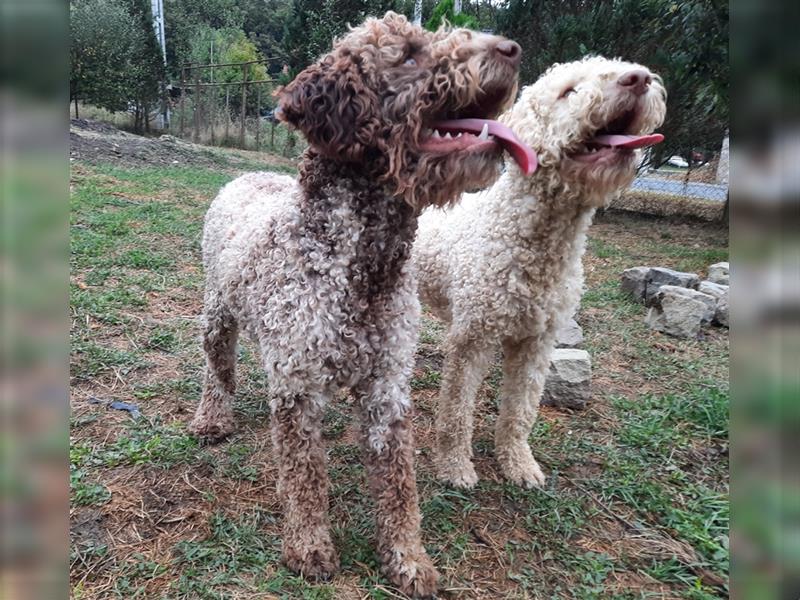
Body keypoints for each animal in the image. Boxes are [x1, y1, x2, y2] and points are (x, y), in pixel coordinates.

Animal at [184, 12, 528, 596]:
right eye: (409, 54)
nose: (511, 49)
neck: (360, 267)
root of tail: (247, 174)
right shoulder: (297, 383)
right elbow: (304, 476)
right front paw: (309, 547)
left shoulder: (388, 383)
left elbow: (398, 482)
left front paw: (407, 557)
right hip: (217, 311)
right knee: (217, 366)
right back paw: (213, 417)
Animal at [416, 55, 664, 488]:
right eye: (568, 91)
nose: (638, 78)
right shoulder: (471, 339)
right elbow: (457, 412)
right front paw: (455, 466)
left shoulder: (537, 341)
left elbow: (521, 410)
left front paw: (518, 463)